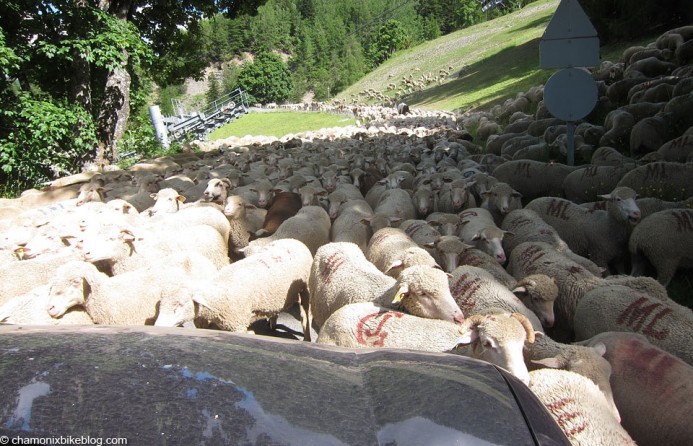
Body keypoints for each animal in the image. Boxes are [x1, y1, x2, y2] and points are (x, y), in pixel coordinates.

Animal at [155, 239, 314, 340]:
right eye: (161, 304)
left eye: (180, 305)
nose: (158, 327)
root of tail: (295, 241)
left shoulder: (238, 324)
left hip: (306, 288)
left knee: (306, 314)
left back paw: (307, 337)